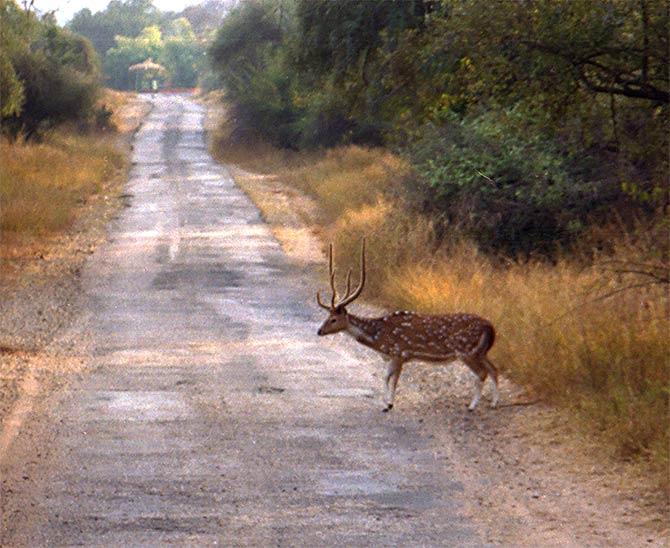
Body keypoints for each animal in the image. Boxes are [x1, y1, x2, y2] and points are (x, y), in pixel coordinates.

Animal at [318, 239, 502, 412]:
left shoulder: (400, 353)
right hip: (480, 351)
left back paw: (472, 406)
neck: (379, 338)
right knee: (494, 369)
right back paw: (494, 403)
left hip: (466, 351)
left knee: (482, 373)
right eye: (327, 316)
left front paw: (389, 404)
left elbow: (393, 380)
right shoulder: (393, 356)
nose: (319, 331)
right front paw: (385, 403)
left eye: (333, 319)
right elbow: (385, 377)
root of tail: (490, 327)